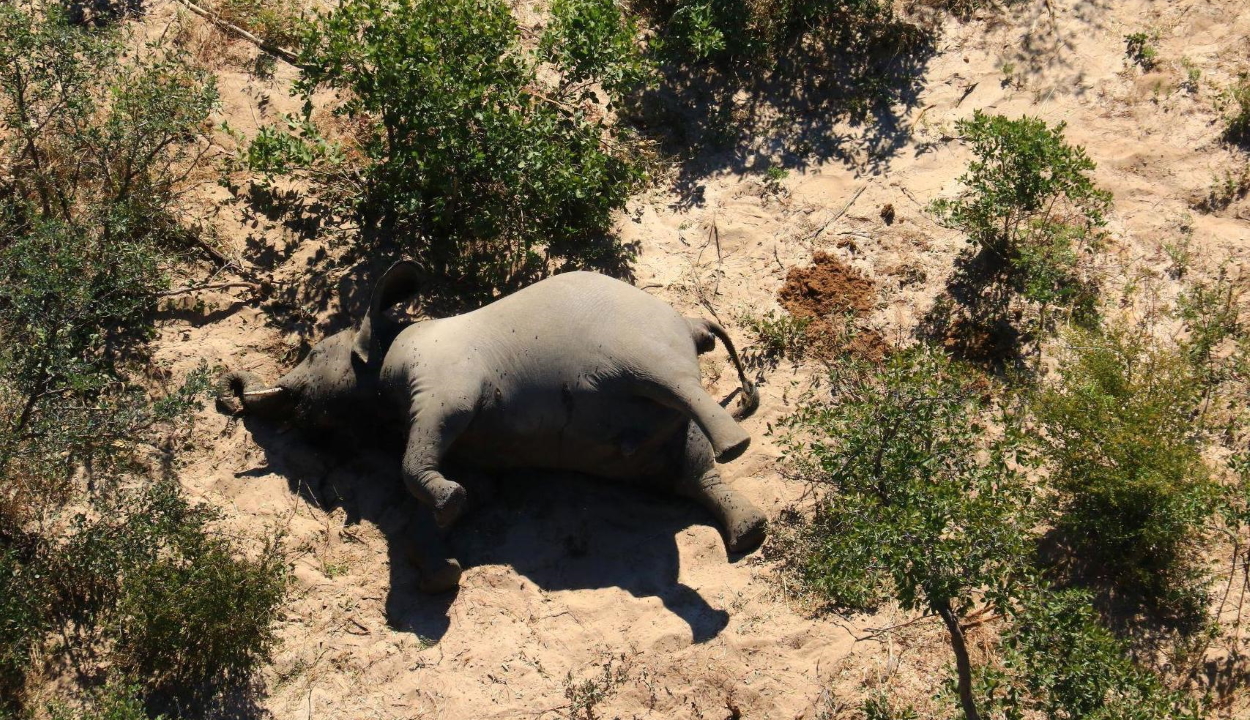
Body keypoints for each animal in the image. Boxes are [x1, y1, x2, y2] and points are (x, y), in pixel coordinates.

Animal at [220, 262, 765, 590]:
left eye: (314, 353)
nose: (231, 387)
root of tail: (692, 323)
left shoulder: (444, 383)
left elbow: (417, 456)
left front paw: (448, 508)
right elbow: (471, 488)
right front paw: (444, 567)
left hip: (642, 348)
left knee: (677, 389)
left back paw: (737, 448)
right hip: (657, 437)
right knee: (691, 471)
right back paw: (750, 533)